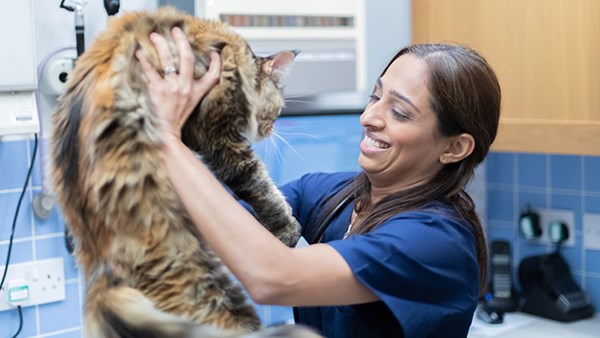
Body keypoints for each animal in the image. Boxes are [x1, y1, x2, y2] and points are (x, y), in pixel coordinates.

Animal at [49, 7, 316, 338]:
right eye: (278, 111)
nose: (269, 131)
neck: (231, 54)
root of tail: (101, 267)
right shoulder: (221, 137)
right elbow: (260, 186)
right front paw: (287, 228)